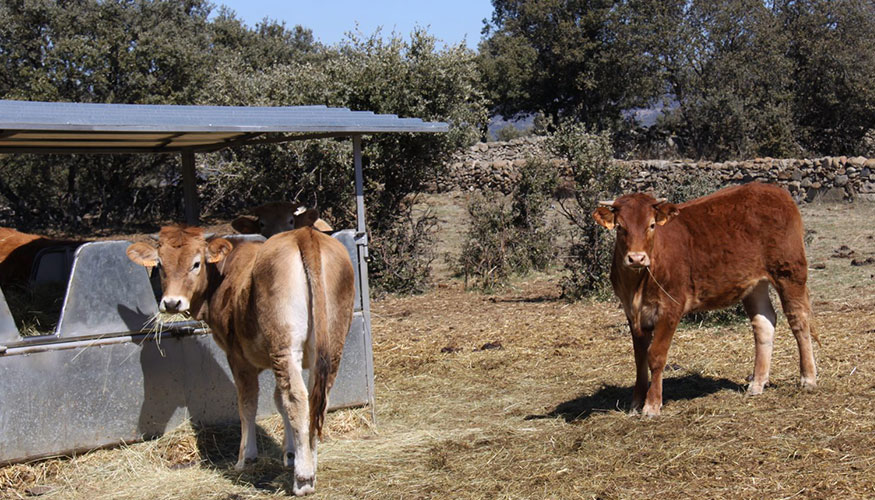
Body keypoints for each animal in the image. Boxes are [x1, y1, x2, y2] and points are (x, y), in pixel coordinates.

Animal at [124, 224, 356, 496]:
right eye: (160, 264)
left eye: (196, 263)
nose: (171, 303)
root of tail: (303, 233)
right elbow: (278, 401)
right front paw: (290, 454)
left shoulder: (237, 356)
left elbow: (248, 404)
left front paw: (246, 458)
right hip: (331, 346)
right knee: (317, 399)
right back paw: (310, 460)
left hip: (285, 346)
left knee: (296, 398)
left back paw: (304, 478)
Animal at [596, 182, 820, 416]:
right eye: (620, 227)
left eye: (651, 225)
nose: (637, 258)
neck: (638, 284)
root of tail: (774, 190)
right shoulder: (633, 312)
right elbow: (639, 358)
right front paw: (635, 404)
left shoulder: (670, 308)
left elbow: (656, 356)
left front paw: (652, 405)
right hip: (754, 283)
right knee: (764, 322)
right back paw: (757, 384)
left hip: (789, 271)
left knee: (799, 321)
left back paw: (808, 379)